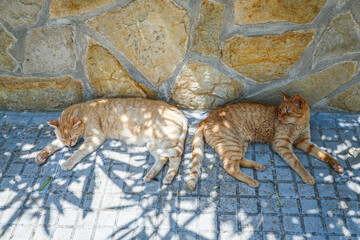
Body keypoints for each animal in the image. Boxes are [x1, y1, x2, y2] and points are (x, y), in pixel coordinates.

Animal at [35, 97, 188, 184]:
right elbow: (51, 145)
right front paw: (41, 155)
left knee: (176, 157)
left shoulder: (94, 139)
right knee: (163, 159)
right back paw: (150, 176)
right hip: (153, 144)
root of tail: (180, 113)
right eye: (63, 138)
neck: (84, 112)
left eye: (72, 138)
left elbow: (79, 152)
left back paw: (168, 178)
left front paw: (68, 162)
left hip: (163, 140)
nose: (69, 145)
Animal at [187, 93, 344, 190]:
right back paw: (252, 180)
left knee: (238, 160)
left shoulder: (304, 142)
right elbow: (297, 163)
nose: (279, 116)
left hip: (240, 142)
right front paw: (307, 176)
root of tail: (205, 119)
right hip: (233, 142)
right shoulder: (281, 145)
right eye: (280, 109)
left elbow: (322, 153)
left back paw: (257, 166)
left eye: (288, 111)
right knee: (230, 166)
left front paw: (335, 165)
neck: (299, 125)